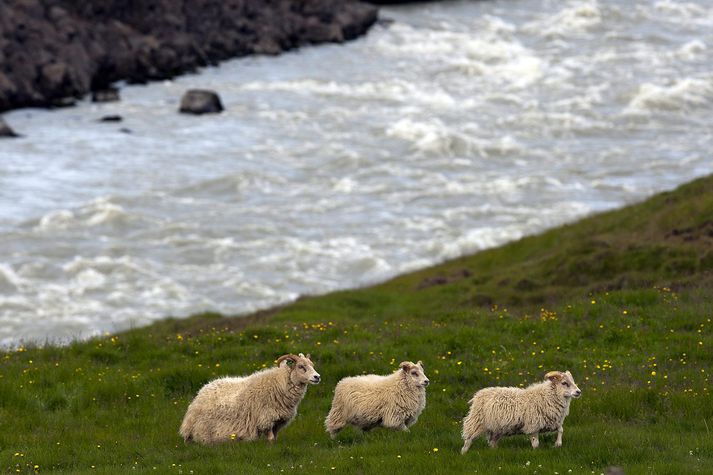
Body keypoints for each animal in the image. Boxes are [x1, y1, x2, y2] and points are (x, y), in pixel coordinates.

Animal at [178, 352, 320, 444]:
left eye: (312, 365)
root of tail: (202, 391)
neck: (279, 383)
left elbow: (275, 438)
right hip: (199, 429)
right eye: (301, 366)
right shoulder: (265, 419)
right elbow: (271, 439)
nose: (317, 377)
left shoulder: (278, 421)